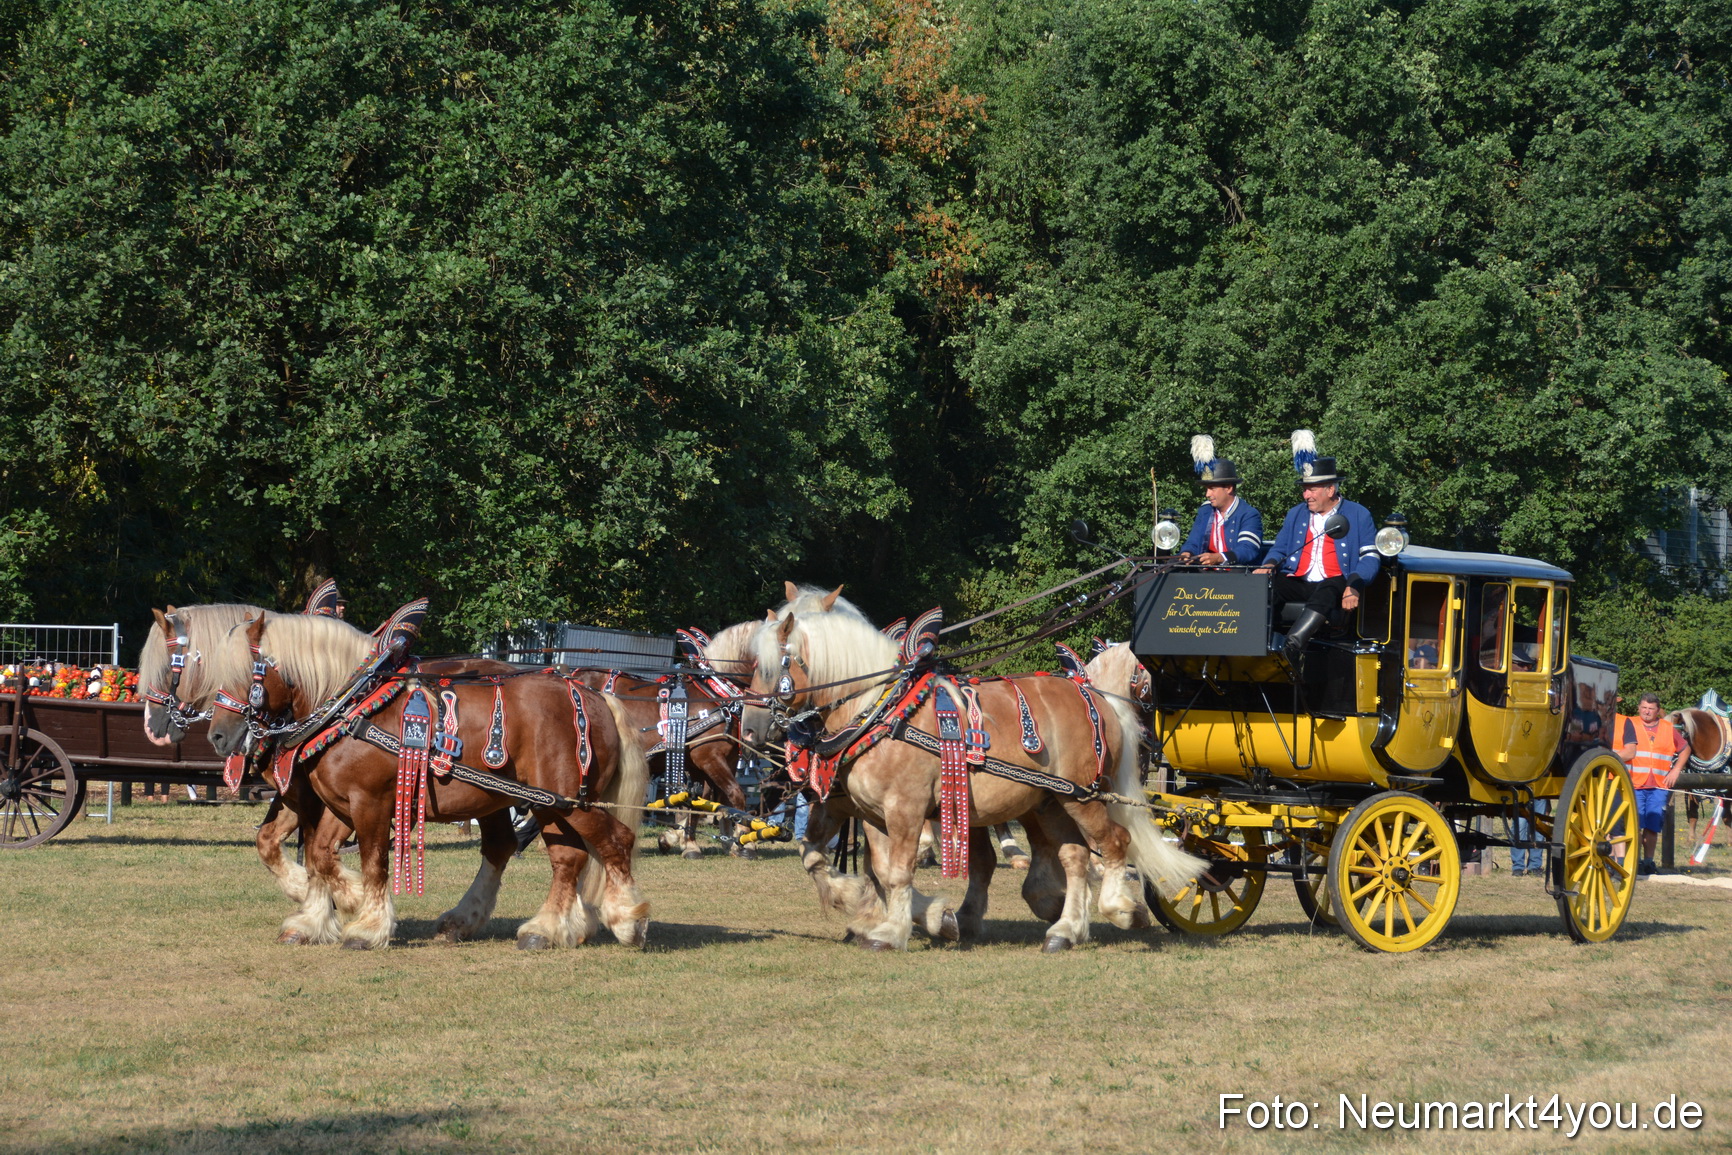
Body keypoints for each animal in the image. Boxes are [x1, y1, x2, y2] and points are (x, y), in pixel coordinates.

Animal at [204, 612, 650, 950]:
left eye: (248, 673)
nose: (217, 736)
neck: (351, 707)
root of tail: (593, 695)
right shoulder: (336, 803)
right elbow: (320, 855)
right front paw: (326, 912)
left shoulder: (369, 802)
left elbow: (372, 862)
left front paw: (366, 923)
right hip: (543, 804)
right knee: (559, 856)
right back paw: (541, 927)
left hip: (560, 802)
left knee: (610, 843)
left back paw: (624, 919)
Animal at [749, 607, 1204, 950]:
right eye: (751, 666)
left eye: (772, 667)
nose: (753, 726)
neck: (882, 711)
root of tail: (1093, 696)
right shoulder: (871, 813)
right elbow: (869, 866)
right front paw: (908, 917)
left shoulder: (905, 809)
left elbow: (898, 871)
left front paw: (894, 930)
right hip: (1052, 801)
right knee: (1075, 857)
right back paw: (1065, 929)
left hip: (1083, 797)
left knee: (1113, 844)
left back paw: (1120, 909)